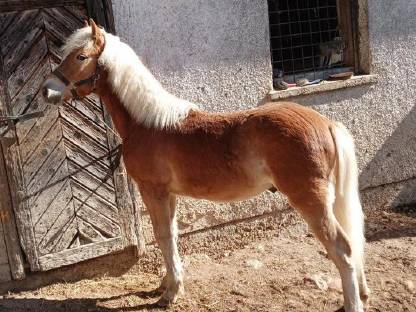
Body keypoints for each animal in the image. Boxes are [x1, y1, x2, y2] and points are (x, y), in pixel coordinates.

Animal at [40, 20, 368, 312]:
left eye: (81, 57)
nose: (47, 90)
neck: (147, 124)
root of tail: (325, 123)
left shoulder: (153, 191)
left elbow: (162, 236)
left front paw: (171, 293)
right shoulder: (169, 195)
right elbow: (171, 236)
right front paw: (167, 283)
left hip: (311, 200)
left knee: (343, 249)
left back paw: (352, 304)